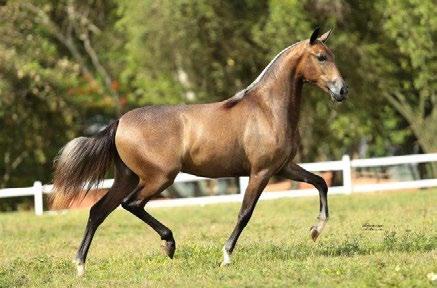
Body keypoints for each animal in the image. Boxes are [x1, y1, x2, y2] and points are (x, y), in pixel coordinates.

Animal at [52, 27, 348, 276]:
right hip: (159, 177)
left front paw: (315, 230)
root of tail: (119, 122)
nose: (342, 90)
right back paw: (169, 244)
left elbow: (320, 182)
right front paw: (226, 256)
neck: (266, 109)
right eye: (321, 57)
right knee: (131, 204)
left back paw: (80, 265)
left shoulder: (284, 166)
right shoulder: (261, 172)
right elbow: (245, 213)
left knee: (98, 211)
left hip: (127, 177)